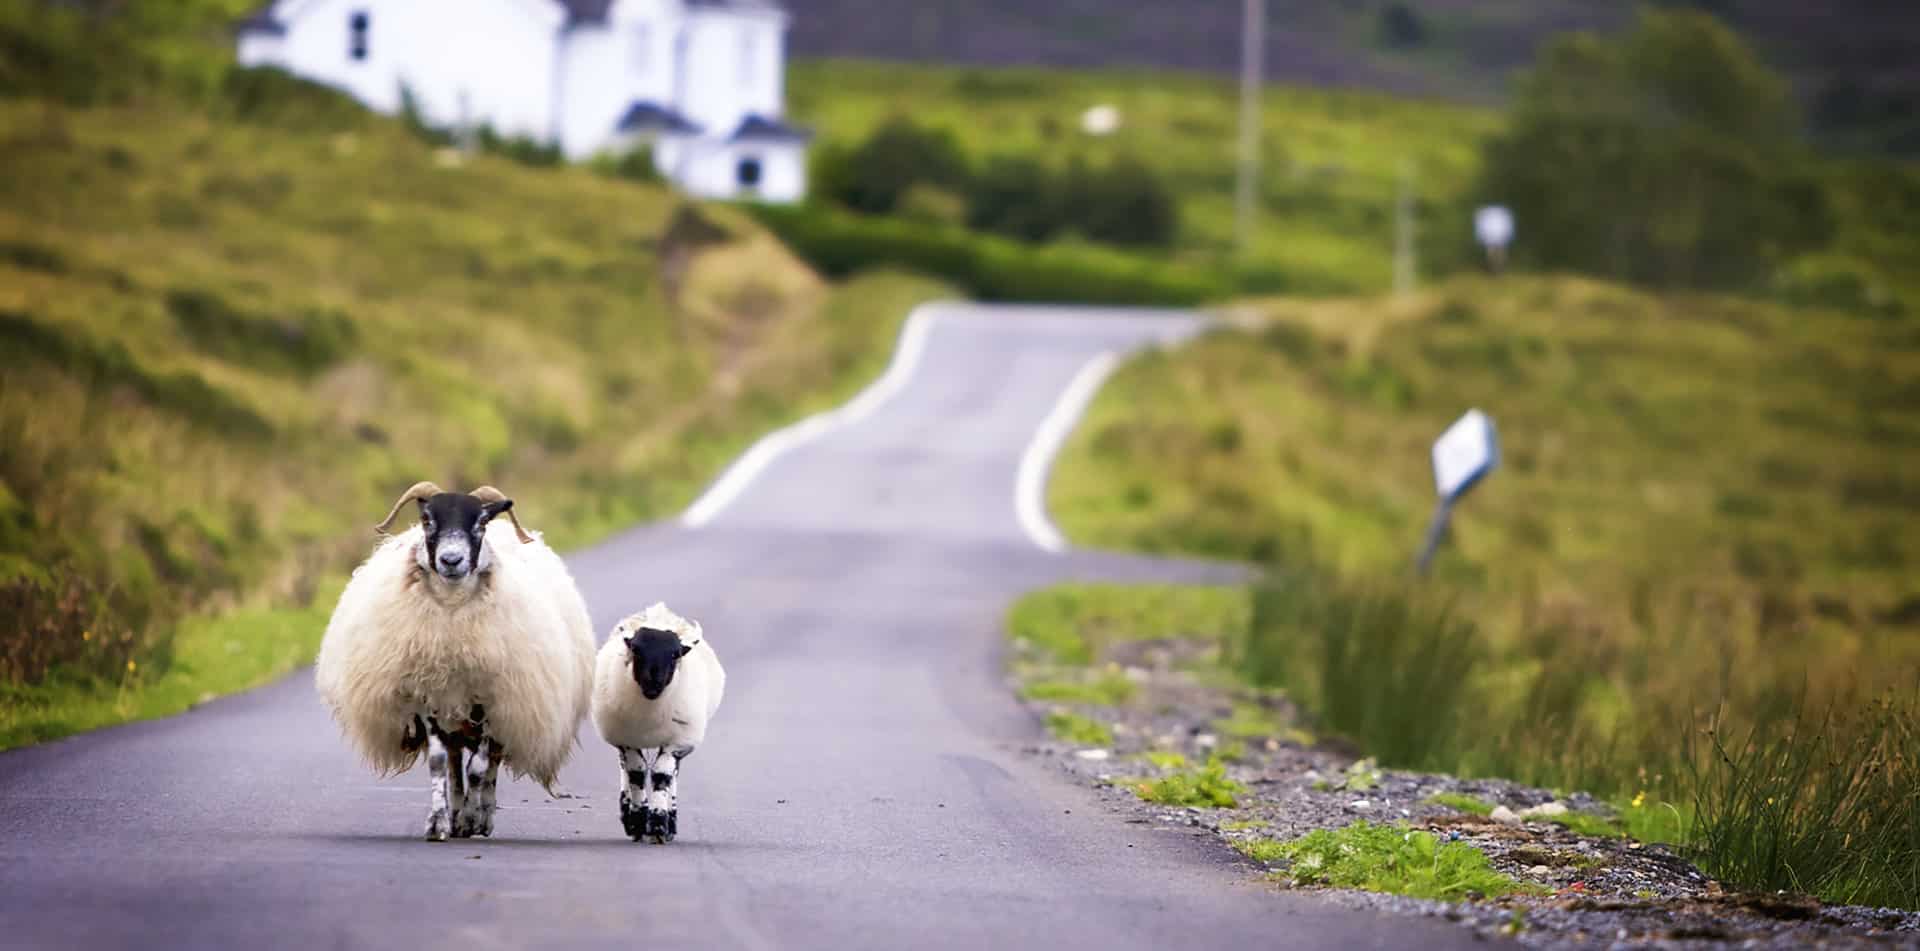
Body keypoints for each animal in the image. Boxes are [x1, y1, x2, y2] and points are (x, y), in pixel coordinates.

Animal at [314, 484, 591, 841]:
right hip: (455, 713)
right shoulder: (428, 695)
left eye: (481, 523)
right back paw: (458, 813)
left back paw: (481, 816)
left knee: (489, 764)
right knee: (456, 762)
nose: (451, 560)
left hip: (508, 707)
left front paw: (473, 817)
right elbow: (440, 761)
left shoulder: (491, 699)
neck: (451, 617)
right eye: (426, 520)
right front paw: (439, 822)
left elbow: (479, 769)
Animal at [587, 607, 721, 845]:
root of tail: (659, 611)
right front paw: (638, 821)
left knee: (672, 774)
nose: (653, 682)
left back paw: (670, 822)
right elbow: (636, 772)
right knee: (624, 767)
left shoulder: (676, 742)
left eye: (675, 654)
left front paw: (659, 824)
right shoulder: (627, 740)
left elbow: (662, 775)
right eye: (635, 649)